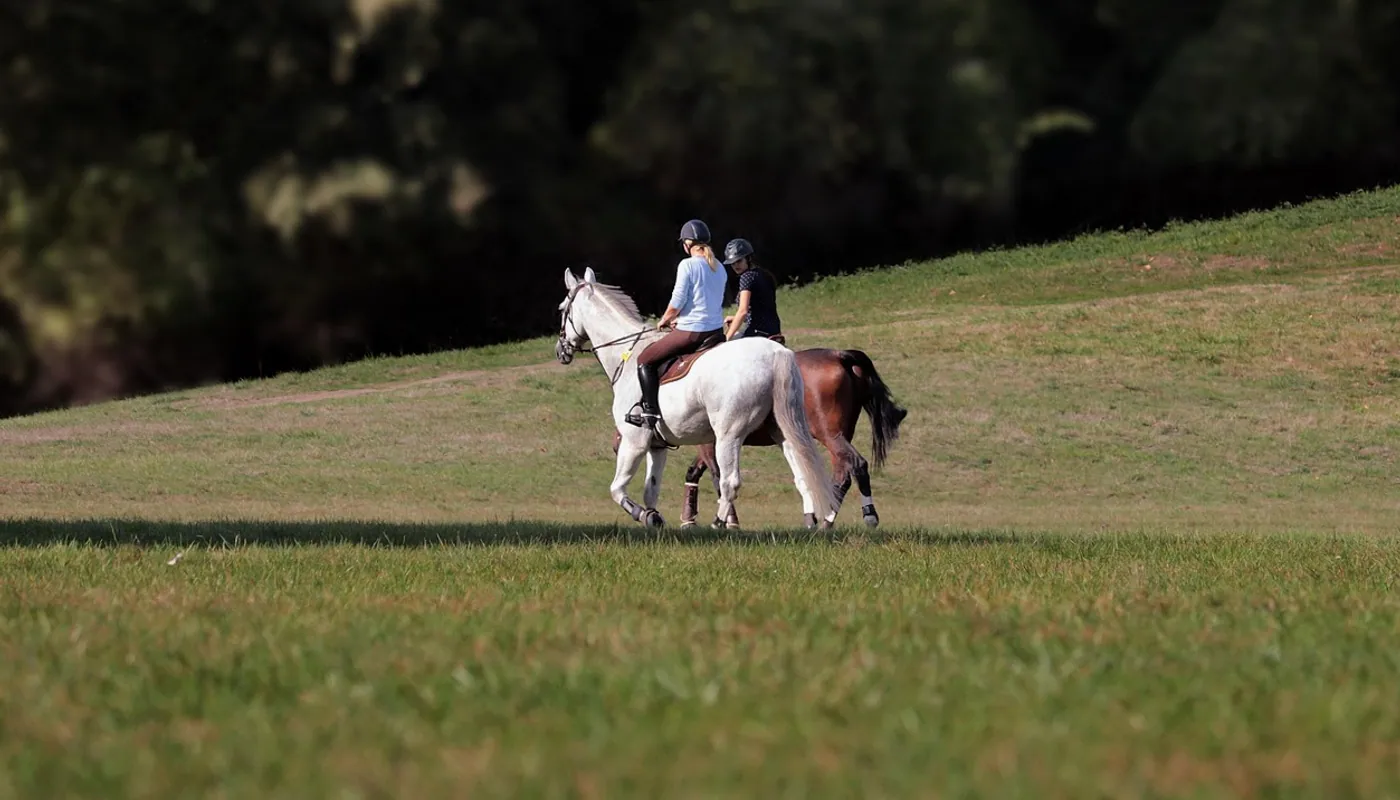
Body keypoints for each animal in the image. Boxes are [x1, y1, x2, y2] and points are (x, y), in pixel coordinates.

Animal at [556, 267, 837, 529]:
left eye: (561, 309)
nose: (560, 351)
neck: (626, 354)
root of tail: (775, 353)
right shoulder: (657, 446)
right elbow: (651, 490)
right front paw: (653, 517)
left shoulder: (634, 441)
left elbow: (617, 489)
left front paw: (642, 515)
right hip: (782, 431)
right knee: (803, 473)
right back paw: (812, 521)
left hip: (728, 436)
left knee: (729, 481)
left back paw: (719, 523)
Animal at [611, 348, 908, 529]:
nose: (616, 443)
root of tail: (841, 355)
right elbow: (696, 473)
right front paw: (690, 518)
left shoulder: (714, 442)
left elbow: (717, 477)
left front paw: (724, 520)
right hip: (836, 435)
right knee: (841, 473)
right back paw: (827, 517)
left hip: (831, 435)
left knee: (854, 466)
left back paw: (858, 515)